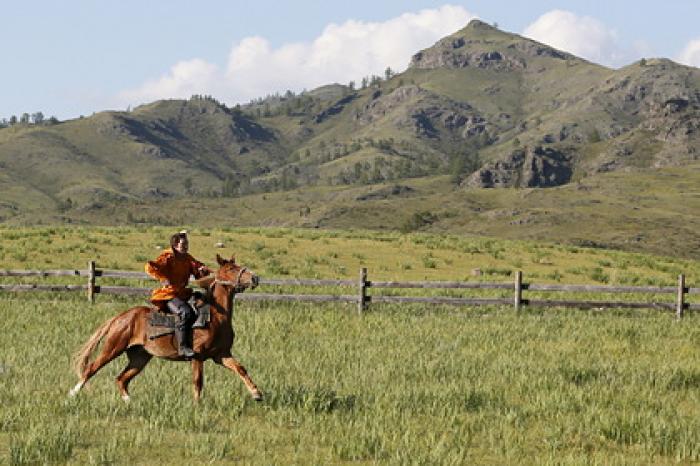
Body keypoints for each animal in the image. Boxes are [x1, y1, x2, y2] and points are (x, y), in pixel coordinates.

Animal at [69, 253, 262, 402]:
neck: (215, 317)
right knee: (92, 368)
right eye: (231, 269)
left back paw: (129, 401)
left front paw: (256, 393)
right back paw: (73, 393)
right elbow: (198, 382)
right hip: (113, 348)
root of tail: (122, 317)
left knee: (122, 379)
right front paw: (197, 405)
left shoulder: (221, 355)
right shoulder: (197, 356)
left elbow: (241, 369)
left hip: (140, 357)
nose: (255, 278)